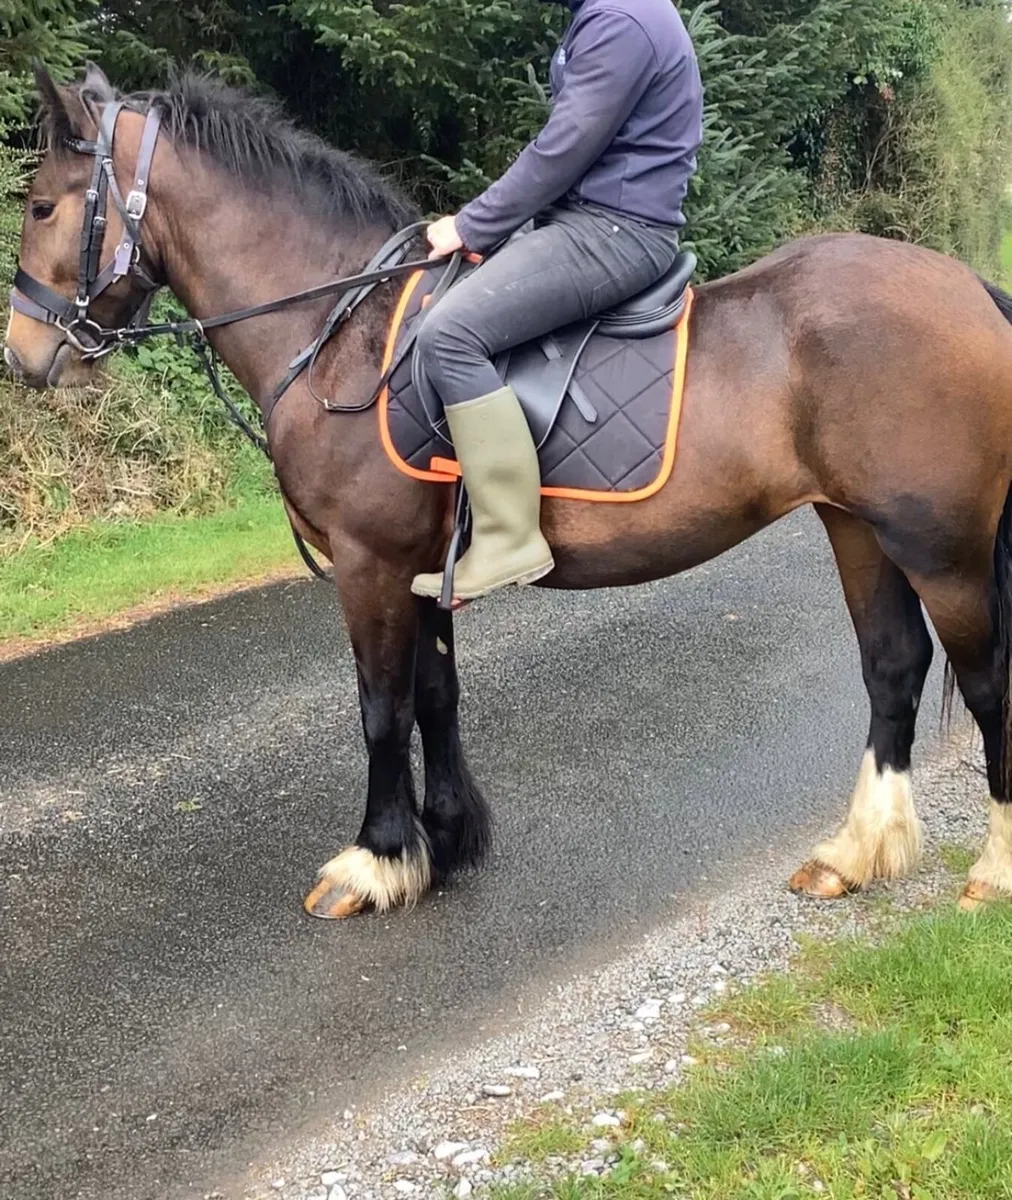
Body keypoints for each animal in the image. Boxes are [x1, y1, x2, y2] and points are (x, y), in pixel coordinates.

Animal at [8, 64, 1012, 921]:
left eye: (42, 203)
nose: (23, 355)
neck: (342, 329)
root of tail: (966, 285)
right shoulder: (421, 569)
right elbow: (436, 697)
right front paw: (446, 843)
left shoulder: (371, 564)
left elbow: (382, 710)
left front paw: (376, 860)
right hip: (858, 527)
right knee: (892, 669)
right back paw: (855, 853)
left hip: (941, 548)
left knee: (984, 680)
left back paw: (992, 871)